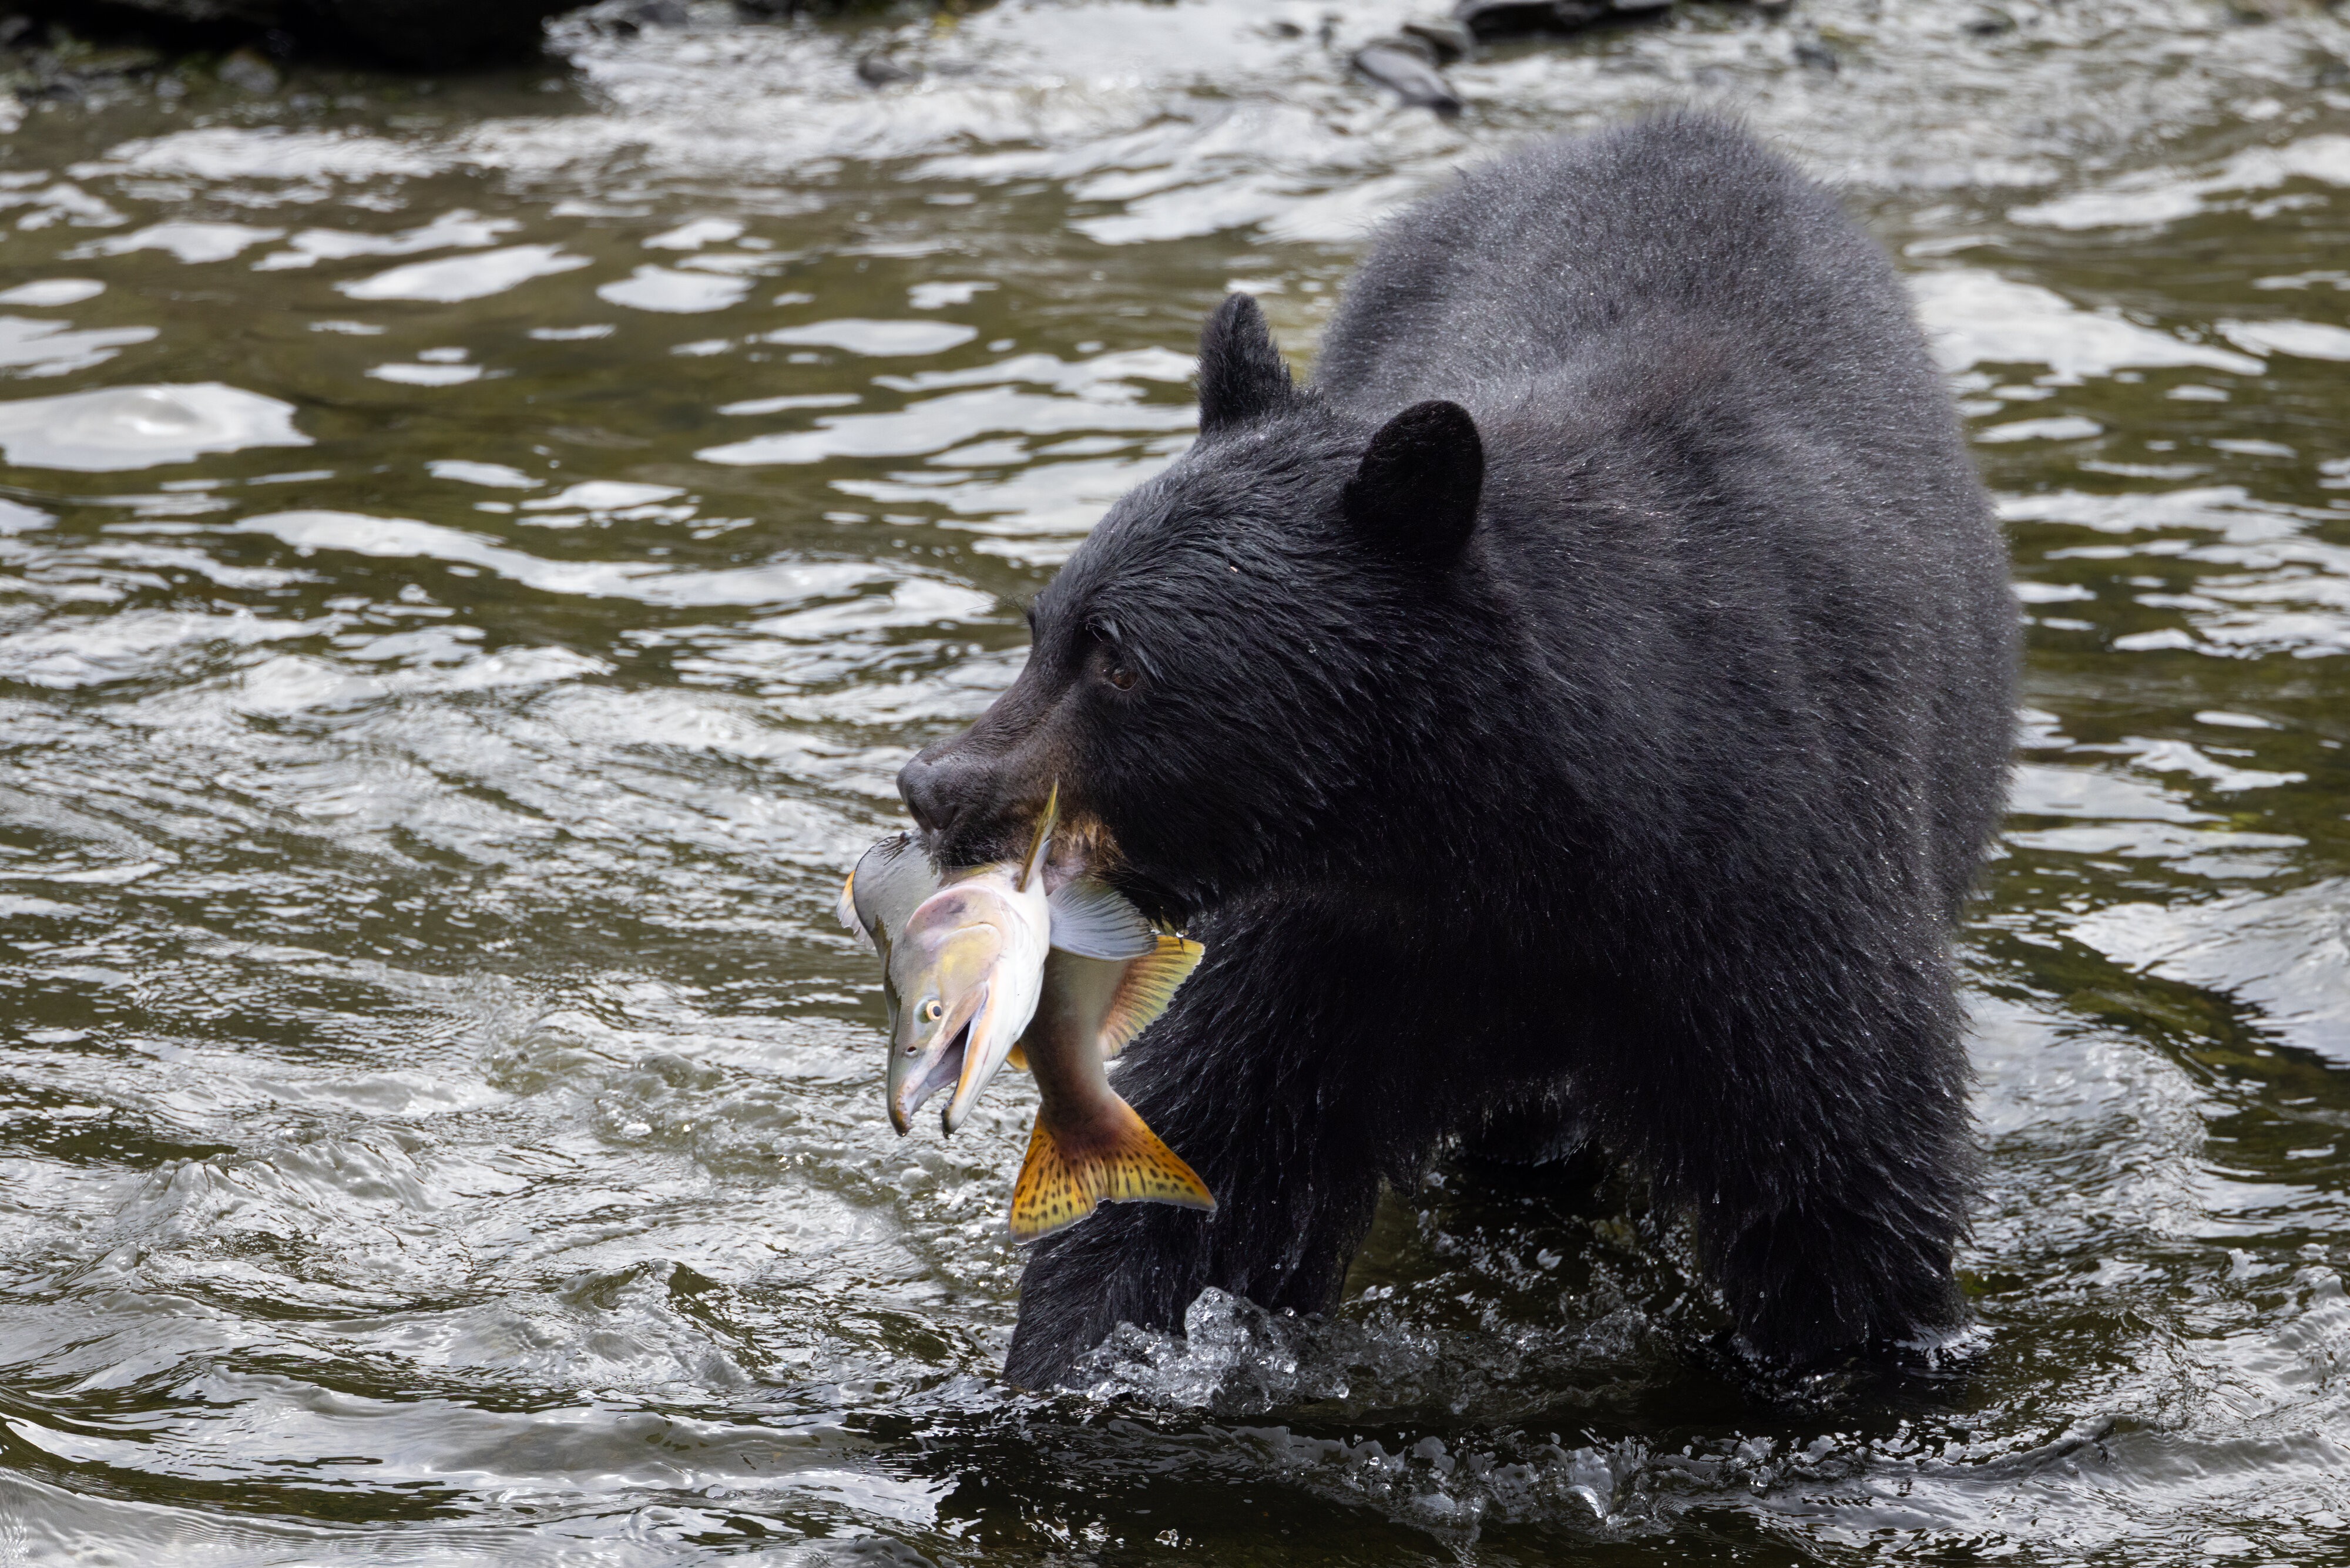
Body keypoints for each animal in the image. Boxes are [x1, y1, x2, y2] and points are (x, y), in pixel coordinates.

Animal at [888, 110, 2012, 1382]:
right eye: (1045, 625)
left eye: (1120, 656)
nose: (936, 784)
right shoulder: (1342, 937)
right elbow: (1213, 1152)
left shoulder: (1770, 884)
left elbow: (1840, 1185)